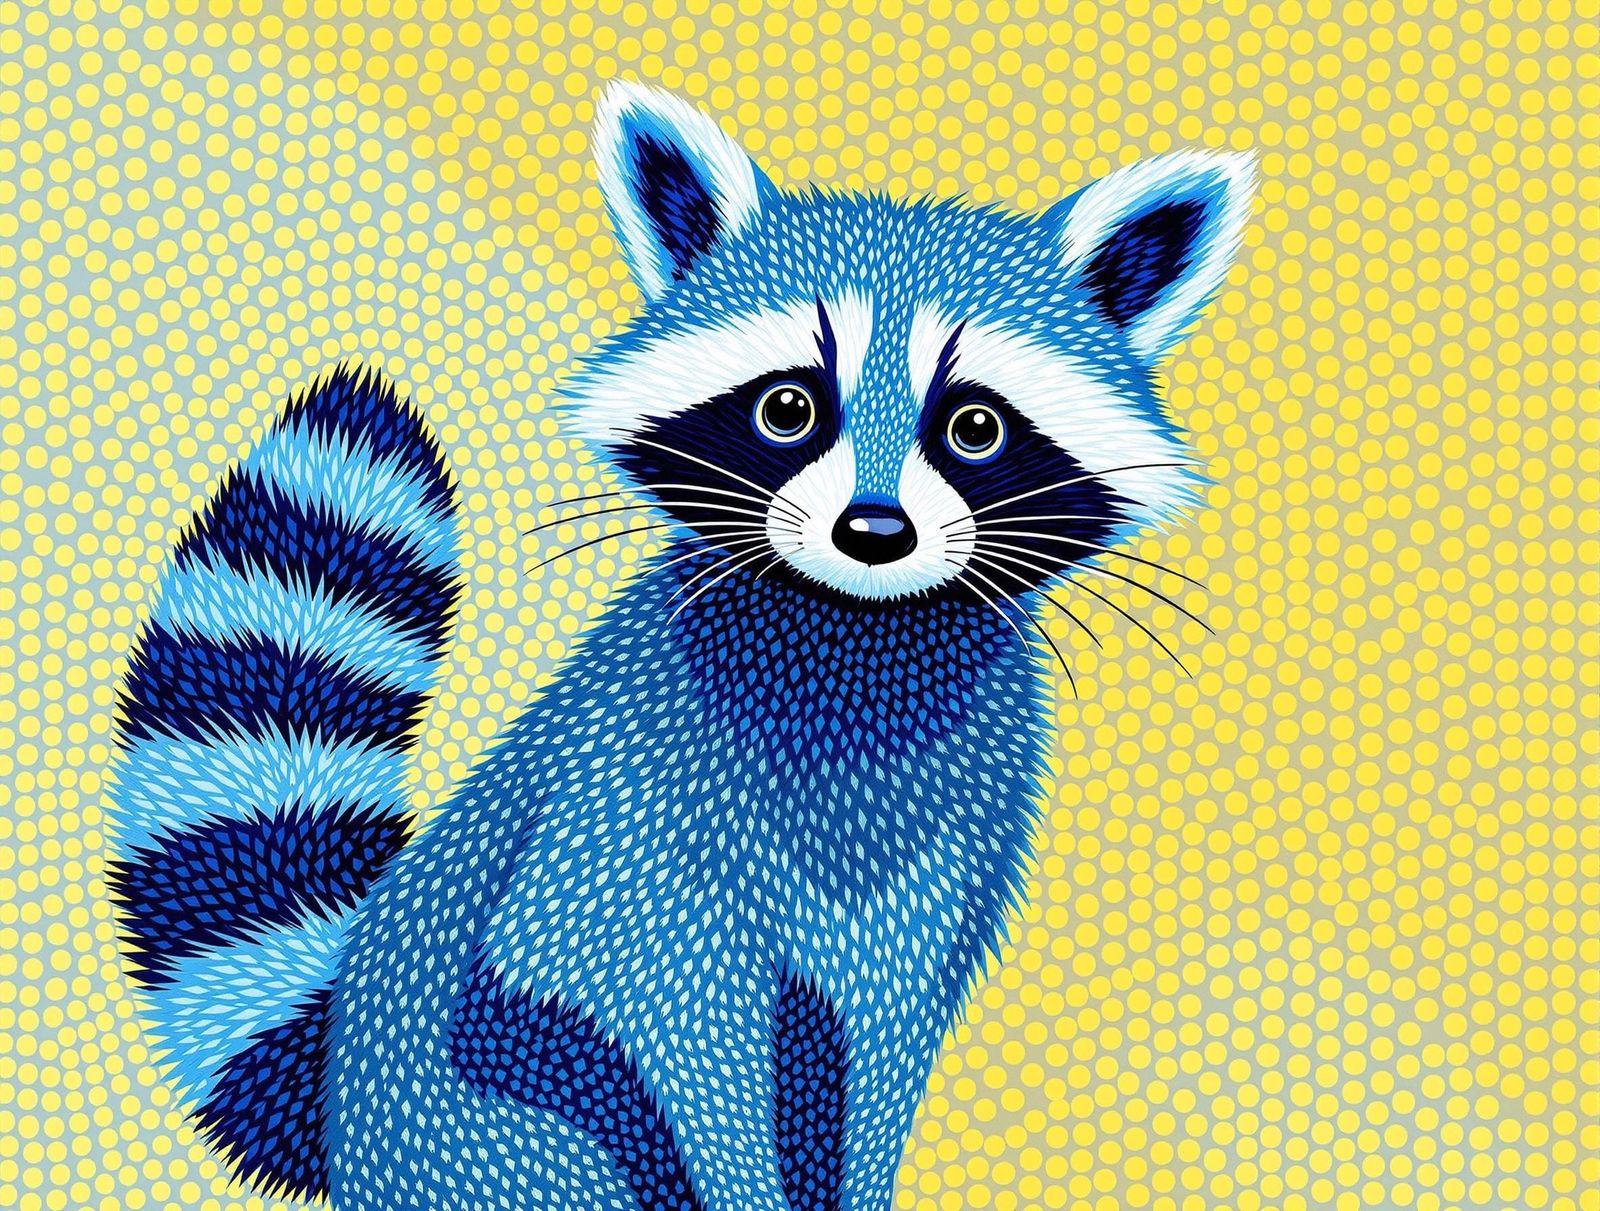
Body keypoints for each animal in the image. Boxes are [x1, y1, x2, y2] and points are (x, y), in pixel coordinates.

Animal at [106, 82, 1253, 1210]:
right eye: (789, 407)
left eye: (975, 427)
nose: (874, 532)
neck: (856, 629)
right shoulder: (631, 820)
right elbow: (662, 1024)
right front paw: (741, 1178)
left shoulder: (945, 850)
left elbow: (879, 1052)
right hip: (490, 1133)